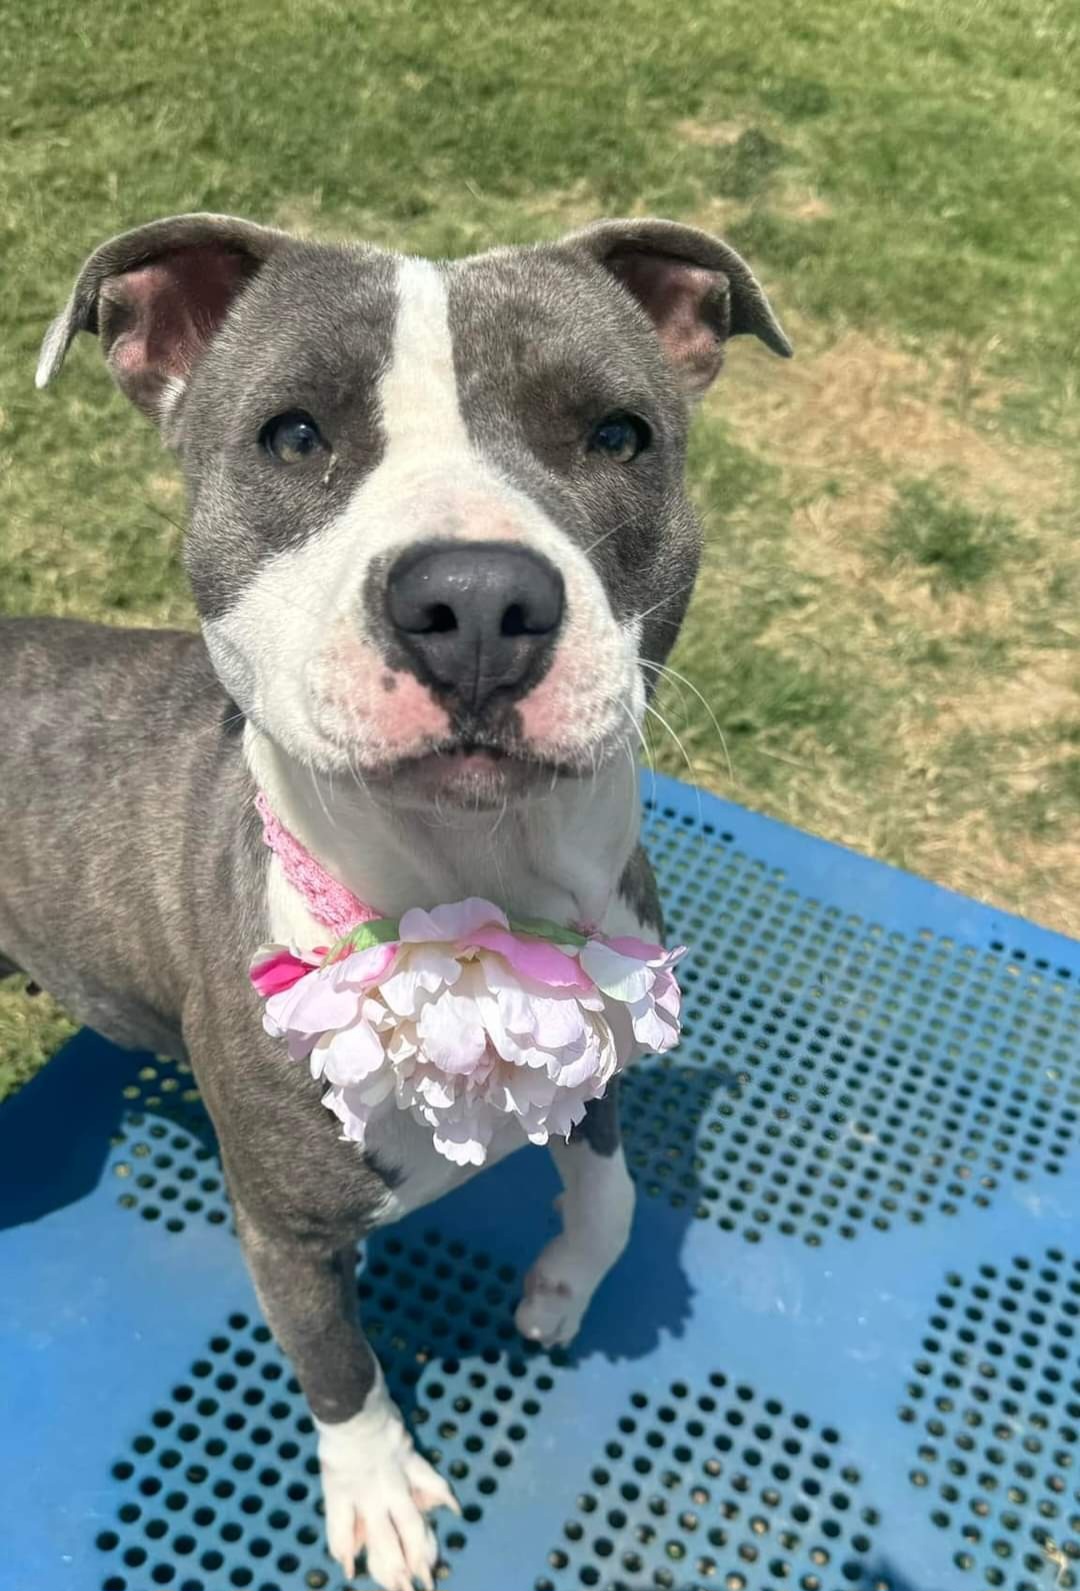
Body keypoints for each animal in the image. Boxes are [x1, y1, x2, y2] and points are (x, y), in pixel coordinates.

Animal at [4, 214, 788, 1591]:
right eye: (292, 435)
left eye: (618, 434)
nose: (475, 599)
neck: (469, 896)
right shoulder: (284, 1231)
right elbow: (339, 1365)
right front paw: (375, 1486)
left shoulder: (595, 1042)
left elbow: (614, 1196)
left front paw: (562, 1289)